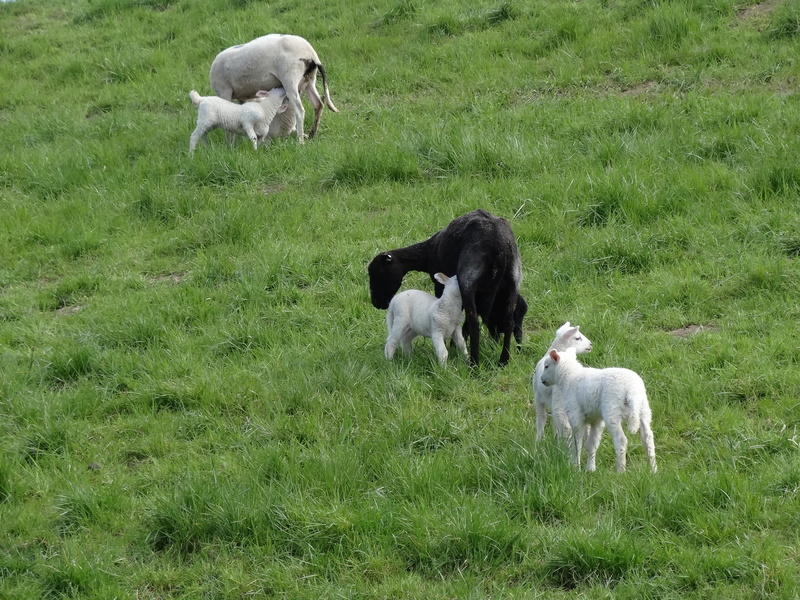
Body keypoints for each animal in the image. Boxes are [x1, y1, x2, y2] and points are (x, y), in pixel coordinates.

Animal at [209, 33, 339, 143]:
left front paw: (229, 144)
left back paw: (300, 141)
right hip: (309, 80)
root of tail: (310, 54)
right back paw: (311, 135)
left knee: (299, 110)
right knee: (318, 104)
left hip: (290, 78)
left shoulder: (224, 91)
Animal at [369, 209, 523, 368]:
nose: (376, 303)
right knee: (509, 322)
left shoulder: (440, 285)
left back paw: (474, 364)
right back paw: (503, 361)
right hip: (514, 280)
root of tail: (499, 246)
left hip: (468, 277)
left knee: (474, 323)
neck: (427, 253)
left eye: (378, 273)